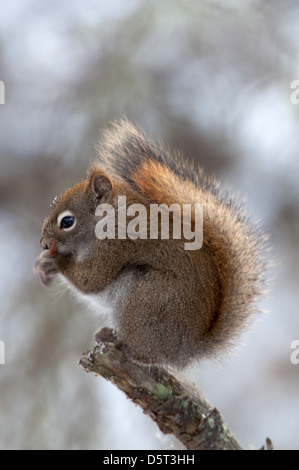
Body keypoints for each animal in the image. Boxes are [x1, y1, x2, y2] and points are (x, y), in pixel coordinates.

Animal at [34, 117, 270, 368]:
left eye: (67, 221)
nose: (43, 243)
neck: (111, 218)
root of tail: (186, 350)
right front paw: (42, 263)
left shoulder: (114, 246)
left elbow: (92, 279)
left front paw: (56, 262)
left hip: (147, 299)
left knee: (148, 354)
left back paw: (119, 343)